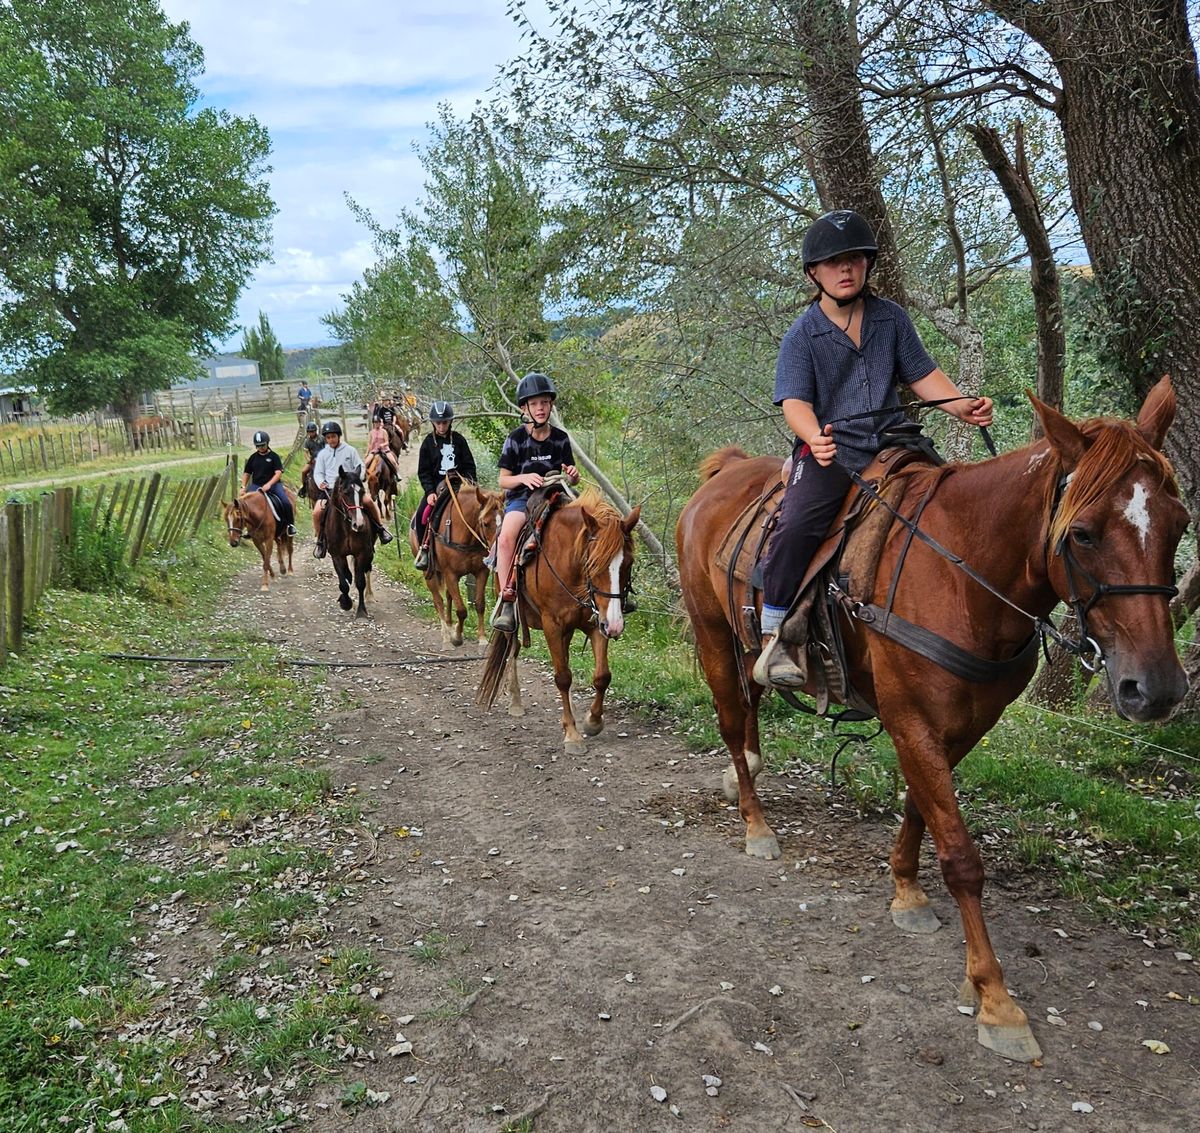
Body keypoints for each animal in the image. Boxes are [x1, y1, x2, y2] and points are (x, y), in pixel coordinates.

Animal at [324, 465, 374, 614]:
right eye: (346, 493)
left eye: (362, 492)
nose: (359, 524)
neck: (347, 528)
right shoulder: (336, 555)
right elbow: (343, 583)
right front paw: (346, 603)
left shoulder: (362, 553)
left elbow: (360, 582)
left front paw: (361, 611)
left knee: (367, 569)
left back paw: (370, 596)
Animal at [412, 475, 506, 648]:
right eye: (485, 523)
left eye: (504, 519)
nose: (497, 552)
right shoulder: (451, 574)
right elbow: (462, 610)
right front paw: (457, 637)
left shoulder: (480, 572)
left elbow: (480, 604)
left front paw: (481, 638)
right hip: (430, 573)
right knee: (438, 600)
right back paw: (445, 635)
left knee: (449, 596)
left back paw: (449, 625)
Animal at [477, 487, 643, 753]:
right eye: (592, 563)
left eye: (628, 563)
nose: (616, 625)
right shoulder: (552, 625)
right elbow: (563, 677)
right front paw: (572, 735)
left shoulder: (597, 622)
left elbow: (602, 676)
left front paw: (592, 721)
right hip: (513, 619)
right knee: (512, 650)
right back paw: (515, 700)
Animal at [676, 381, 1190, 1060]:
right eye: (1081, 534)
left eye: (1180, 524)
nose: (1154, 689)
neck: (962, 574)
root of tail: (724, 473)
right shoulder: (911, 719)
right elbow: (961, 855)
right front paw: (996, 999)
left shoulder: (963, 724)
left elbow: (922, 807)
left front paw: (907, 891)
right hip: (712, 635)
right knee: (734, 725)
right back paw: (756, 824)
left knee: (750, 709)